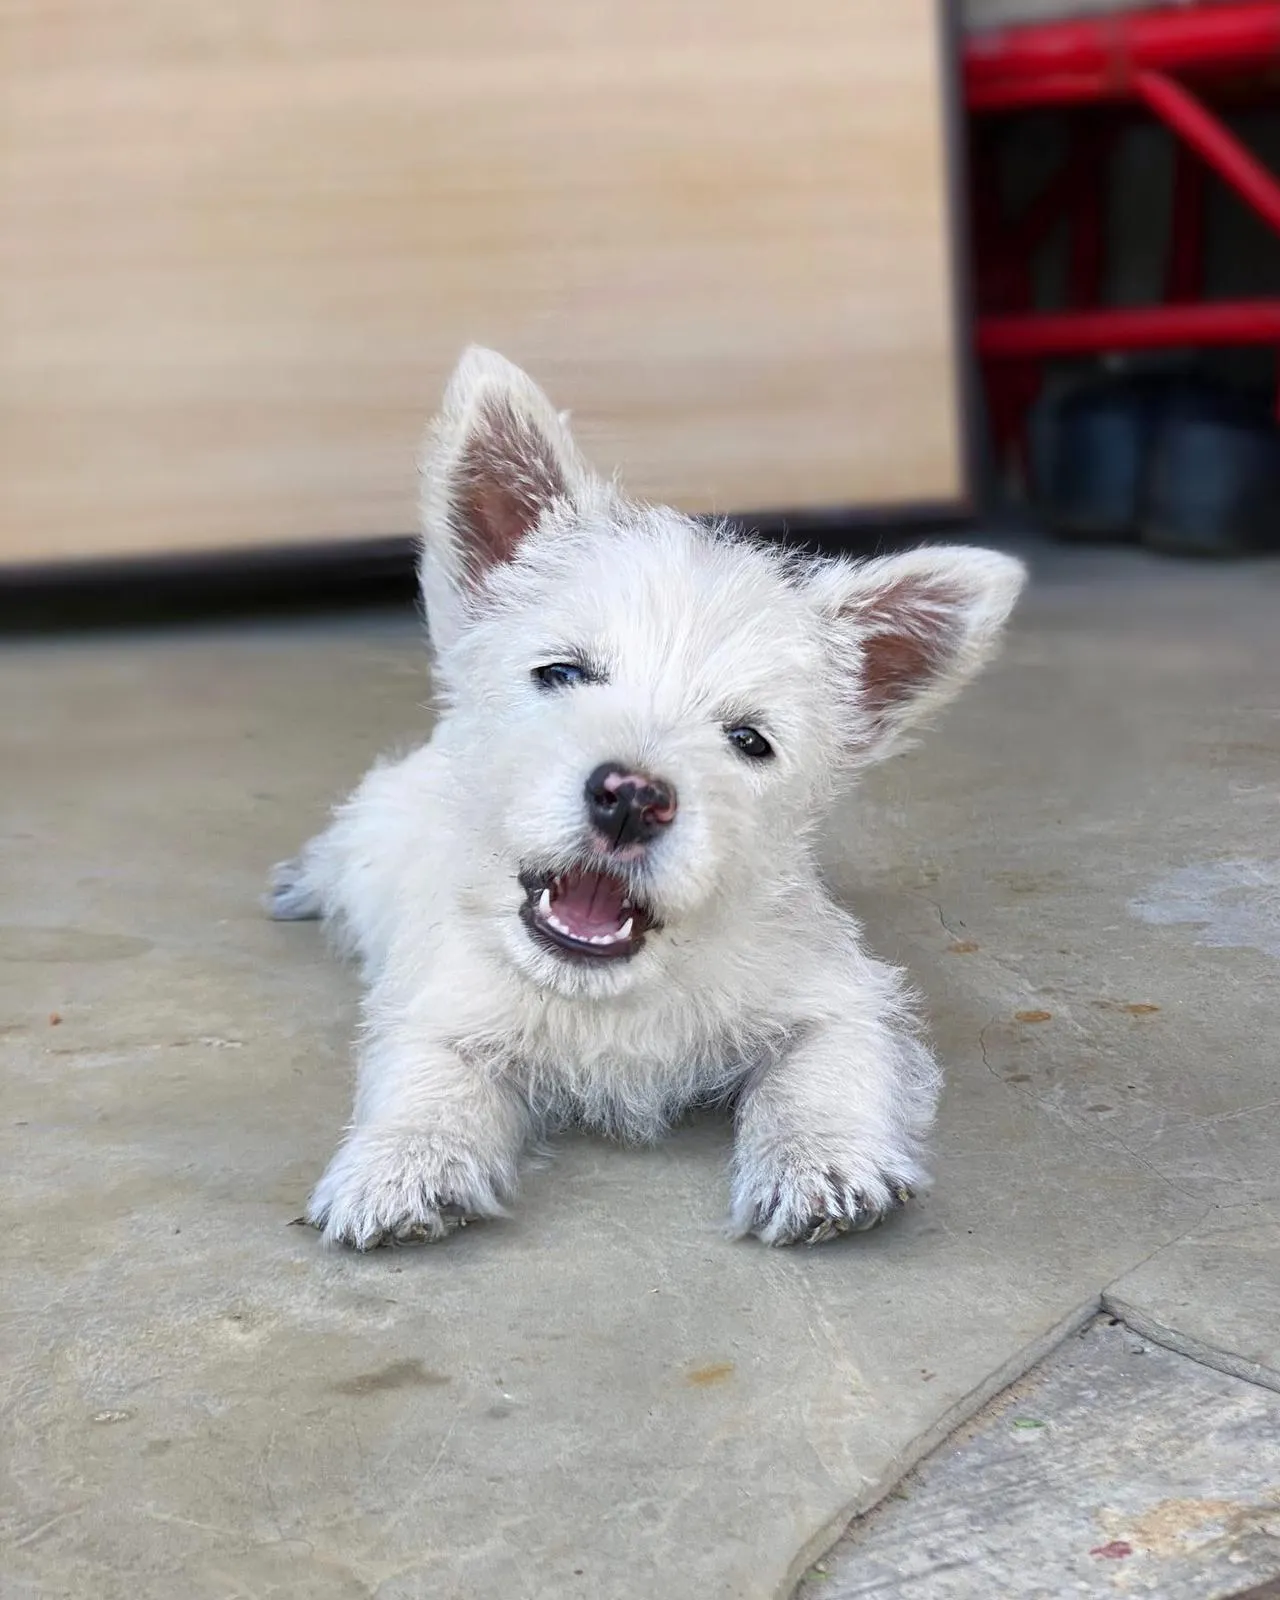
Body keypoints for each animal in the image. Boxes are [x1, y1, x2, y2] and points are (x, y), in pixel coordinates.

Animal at [275, 350, 1024, 1248]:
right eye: (561, 673)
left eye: (749, 740)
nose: (632, 797)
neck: (614, 994)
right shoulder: (437, 1001)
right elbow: (428, 1076)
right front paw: (399, 1164)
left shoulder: (839, 998)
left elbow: (823, 1065)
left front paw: (824, 1163)